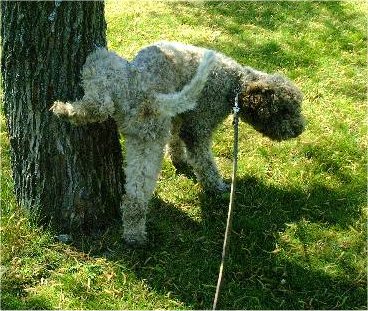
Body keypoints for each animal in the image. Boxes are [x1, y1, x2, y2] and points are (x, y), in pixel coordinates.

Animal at [51, 42, 304, 246]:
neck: (234, 83)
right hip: (145, 141)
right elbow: (188, 150)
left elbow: (201, 160)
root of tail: (151, 99)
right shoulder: (187, 122)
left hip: (109, 75)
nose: (300, 129)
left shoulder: (195, 126)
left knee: (100, 106)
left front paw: (213, 185)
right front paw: (193, 169)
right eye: (286, 110)